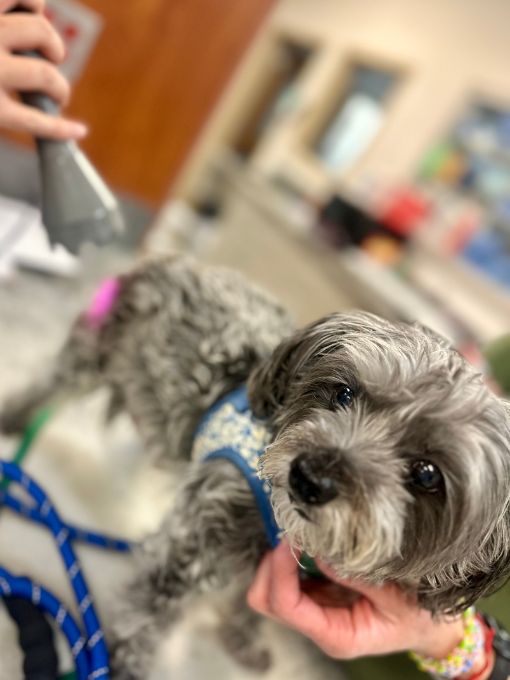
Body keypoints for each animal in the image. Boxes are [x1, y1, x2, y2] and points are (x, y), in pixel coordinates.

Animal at [0, 256, 510, 680]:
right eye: (344, 394)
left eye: (426, 474)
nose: (308, 478)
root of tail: (175, 260)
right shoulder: (191, 544)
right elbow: (142, 623)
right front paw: (123, 668)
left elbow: (248, 605)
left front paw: (242, 636)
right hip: (90, 355)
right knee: (47, 387)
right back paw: (15, 422)